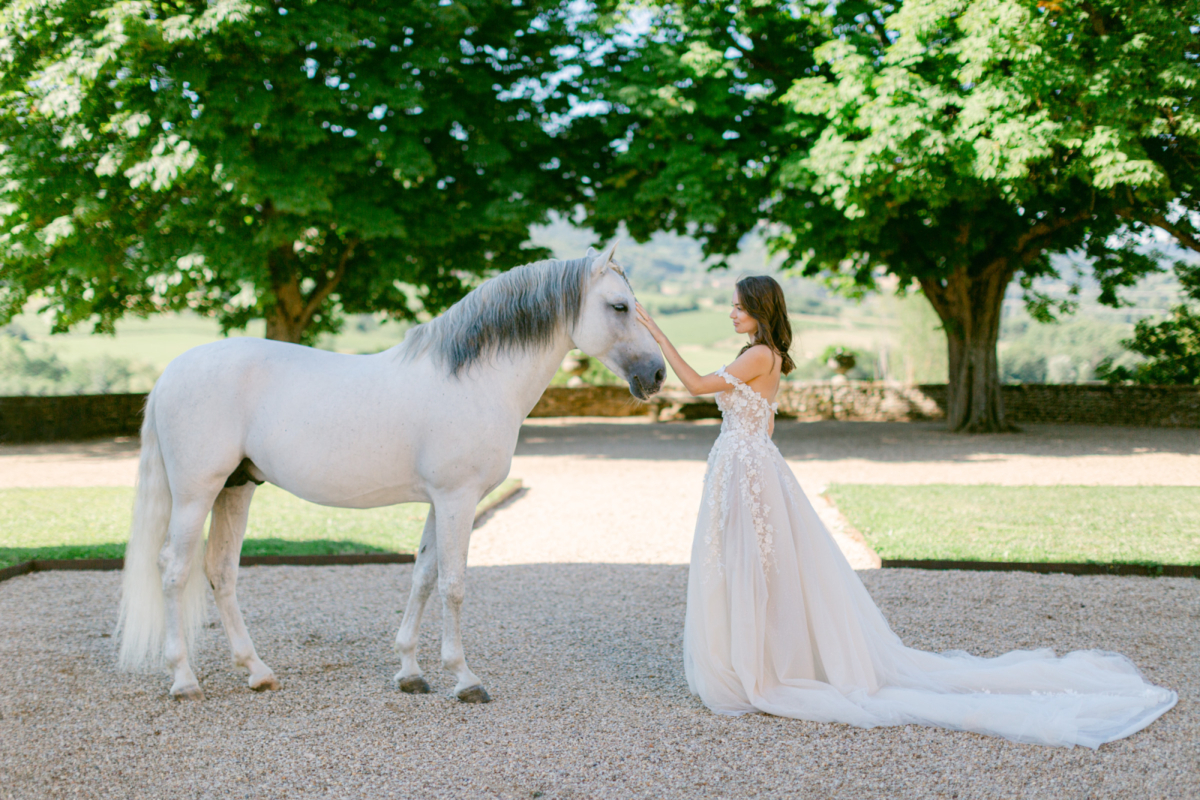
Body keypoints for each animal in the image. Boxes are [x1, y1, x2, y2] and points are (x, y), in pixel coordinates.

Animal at [118, 242, 667, 700]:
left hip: (237, 488)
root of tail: (171, 373)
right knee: (175, 570)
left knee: (221, 572)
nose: (658, 375)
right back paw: (184, 680)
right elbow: (453, 584)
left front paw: (410, 673)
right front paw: (464, 679)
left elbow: (423, 577)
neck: (473, 380)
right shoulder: (457, 498)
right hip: (196, 493)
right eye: (619, 306)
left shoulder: (440, 502)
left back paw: (258, 672)